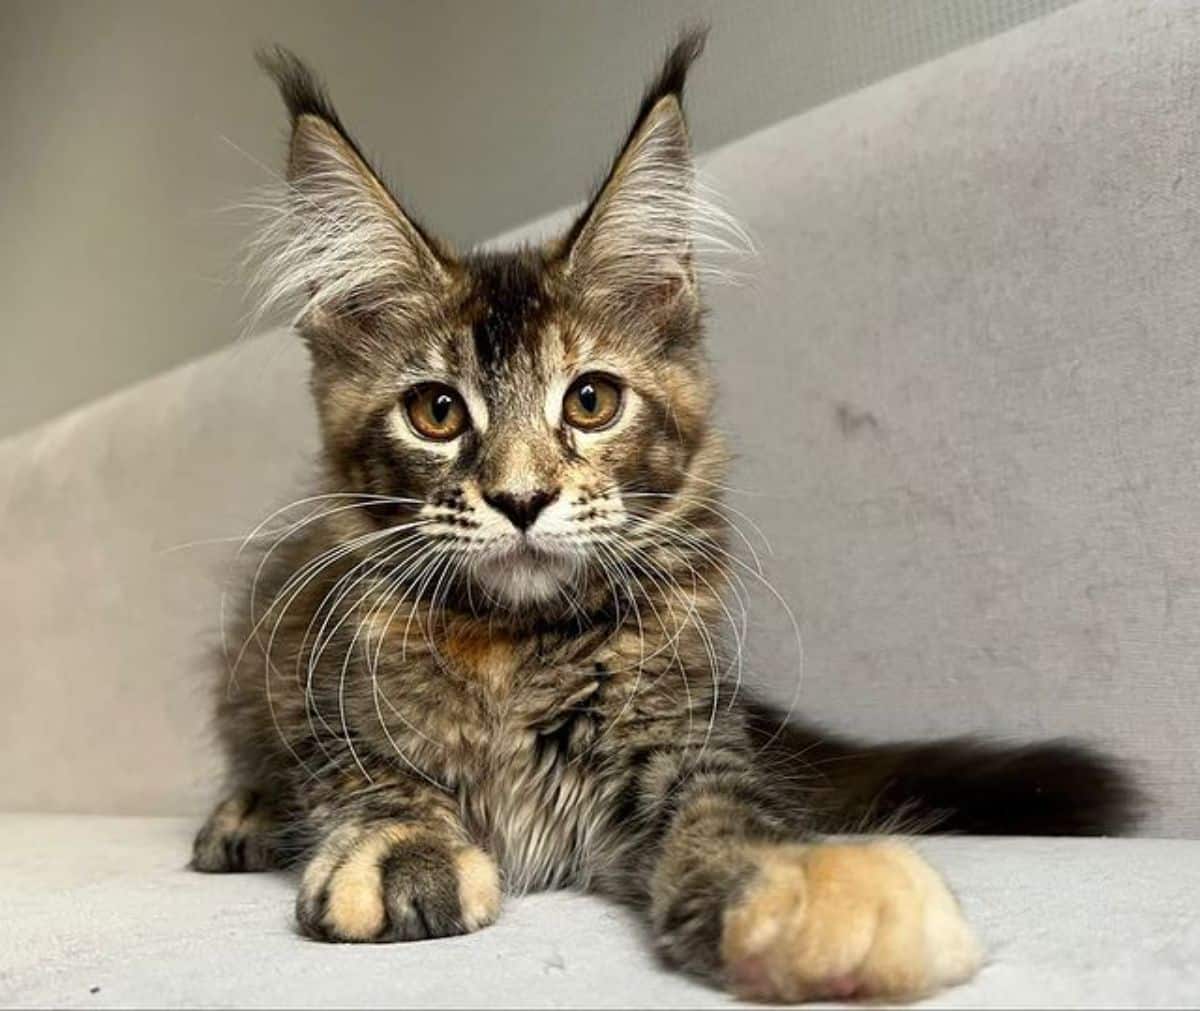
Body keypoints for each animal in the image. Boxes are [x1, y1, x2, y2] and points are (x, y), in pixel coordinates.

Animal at [194, 31, 1132, 998]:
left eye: (592, 400)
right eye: (438, 413)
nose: (521, 498)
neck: (515, 644)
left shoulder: (679, 733)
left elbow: (723, 805)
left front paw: (802, 884)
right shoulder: (323, 689)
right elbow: (364, 771)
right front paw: (397, 842)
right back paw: (242, 816)